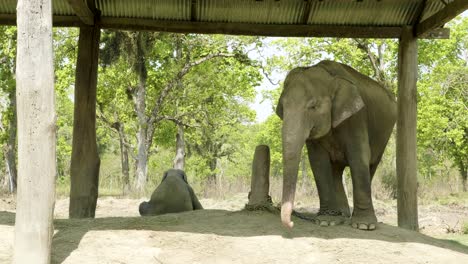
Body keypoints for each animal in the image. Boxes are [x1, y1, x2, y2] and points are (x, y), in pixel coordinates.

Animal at [276, 59, 396, 229]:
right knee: (336, 171)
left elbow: (358, 157)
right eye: (282, 107)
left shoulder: (356, 118)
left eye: (313, 106)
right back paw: (342, 215)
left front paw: (364, 226)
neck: (330, 77)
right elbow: (318, 162)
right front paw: (326, 221)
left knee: (371, 166)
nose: (292, 222)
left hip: (384, 135)